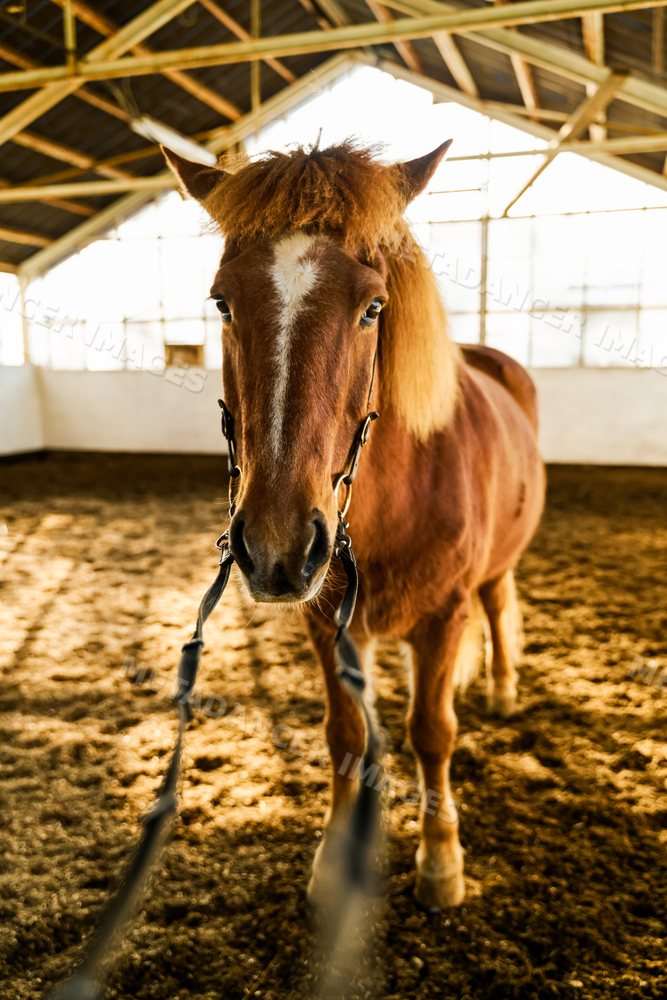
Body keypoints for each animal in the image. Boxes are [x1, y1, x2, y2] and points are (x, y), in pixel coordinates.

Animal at [163, 140, 545, 909]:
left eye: (373, 307)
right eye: (221, 301)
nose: (276, 547)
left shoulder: (444, 615)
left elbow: (432, 731)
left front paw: (441, 861)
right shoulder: (328, 621)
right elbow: (345, 734)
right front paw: (335, 858)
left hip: (492, 572)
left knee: (495, 607)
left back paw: (498, 687)